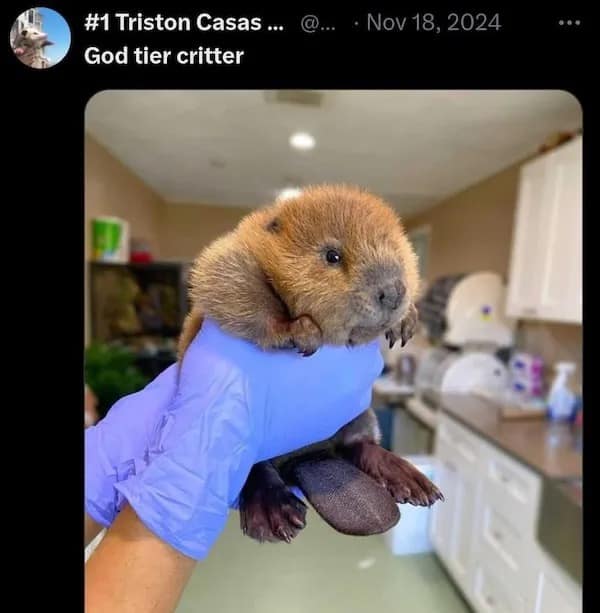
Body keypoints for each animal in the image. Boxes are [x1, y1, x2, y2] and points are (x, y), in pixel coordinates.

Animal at [178, 184, 443, 543]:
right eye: (332, 256)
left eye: (397, 250)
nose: (392, 291)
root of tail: (311, 458)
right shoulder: (233, 257)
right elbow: (237, 292)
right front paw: (301, 331)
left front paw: (406, 323)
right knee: (255, 467)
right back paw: (275, 517)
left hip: (361, 416)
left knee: (359, 445)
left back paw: (412, 482)